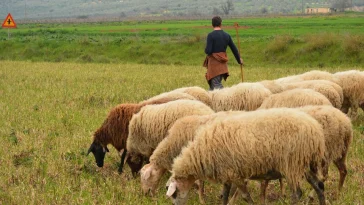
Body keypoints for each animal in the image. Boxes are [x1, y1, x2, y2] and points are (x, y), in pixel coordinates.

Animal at [166, 108, 326, 204]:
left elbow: (245, 196)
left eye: (173, 194)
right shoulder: (227, 173)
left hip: (292, 164)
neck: (199, 154)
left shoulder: (235, 174)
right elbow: (225, 196)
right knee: (319, 186)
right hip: (304, 163)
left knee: (297, 193)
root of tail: (315, 130)